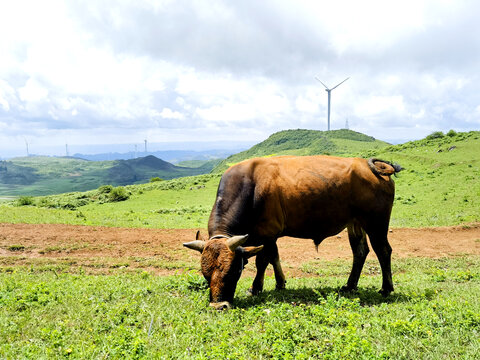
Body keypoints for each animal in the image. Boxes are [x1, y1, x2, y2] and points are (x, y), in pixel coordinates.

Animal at [184, 155, 402, 310]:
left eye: (233, 271)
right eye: (205, 274)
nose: (218, 305)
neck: (251, 188)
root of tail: (372, 166)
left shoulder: (268, 232)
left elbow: (263, 261)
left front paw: (256, 287)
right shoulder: (268, 237)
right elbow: (274, 257)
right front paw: (280, 283)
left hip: (376, 224)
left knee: (383, 251)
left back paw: (386, 288)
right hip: (355, 223)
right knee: (360, 252)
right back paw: (350, 286)